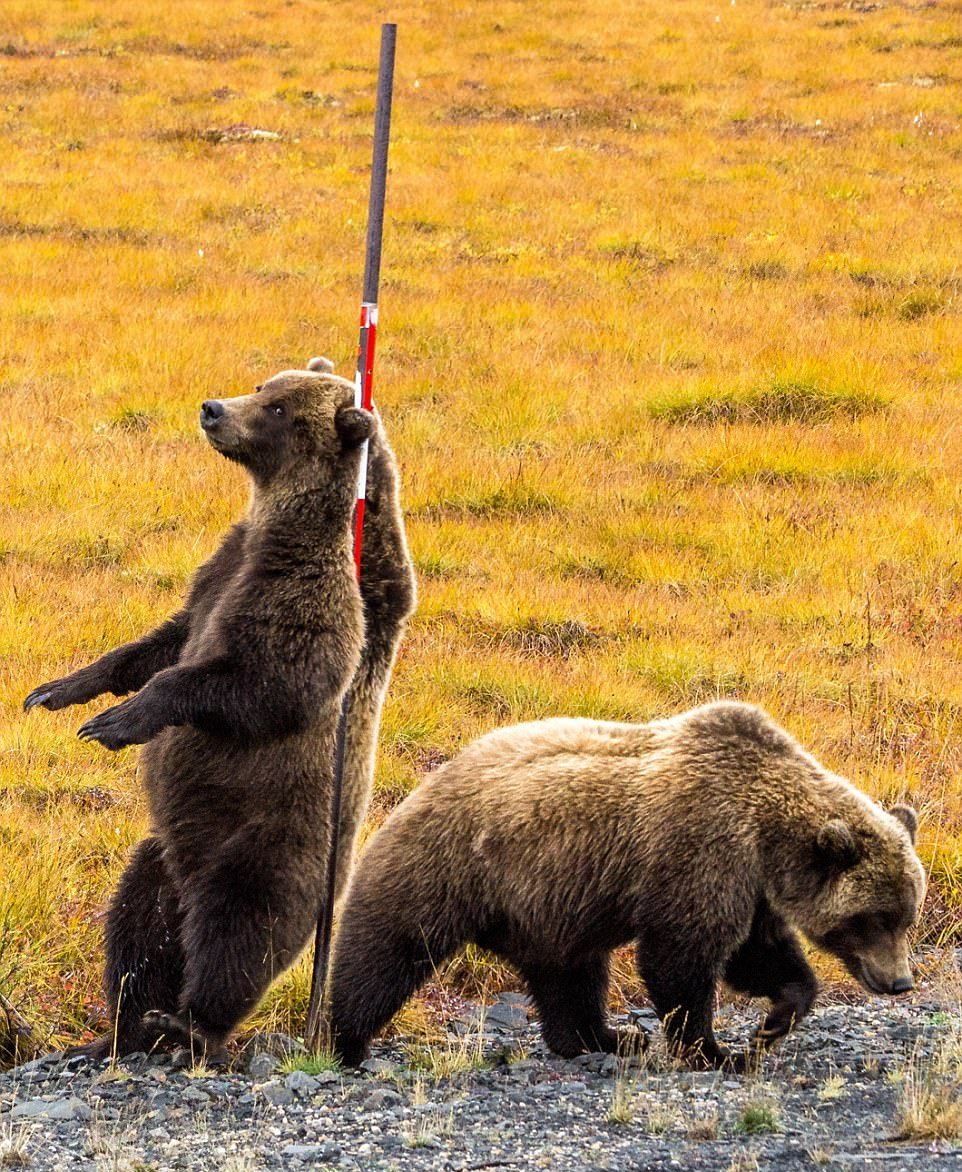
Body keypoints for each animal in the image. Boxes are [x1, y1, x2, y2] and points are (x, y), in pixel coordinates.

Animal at [24, 360, 414, 1059]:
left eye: (279, 408)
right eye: (263, 386)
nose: (213, 408)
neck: (275, 523)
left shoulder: (303, 593)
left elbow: (268, 680)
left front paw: (118, 722)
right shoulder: (218, 573)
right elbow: (162, 640)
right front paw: (61, 690)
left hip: (268, 840)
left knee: (240, 929)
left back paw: (191, 1024)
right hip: (163, 856)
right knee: (139, 926)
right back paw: (124, 1026)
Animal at [328, 698, 923, 1073]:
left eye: (905, 915)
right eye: (873, 918)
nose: (900, 982)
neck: (766, 832)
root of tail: (422, 785)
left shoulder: (751, 885)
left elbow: (759, 954)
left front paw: (774, 1021)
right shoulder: (703, 850)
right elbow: (681, 958)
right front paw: (716, 1051)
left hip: (550, 905)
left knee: (569, 975)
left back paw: (607, 1038)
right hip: (444, 869)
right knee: (386, 951)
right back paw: (347, 1044)